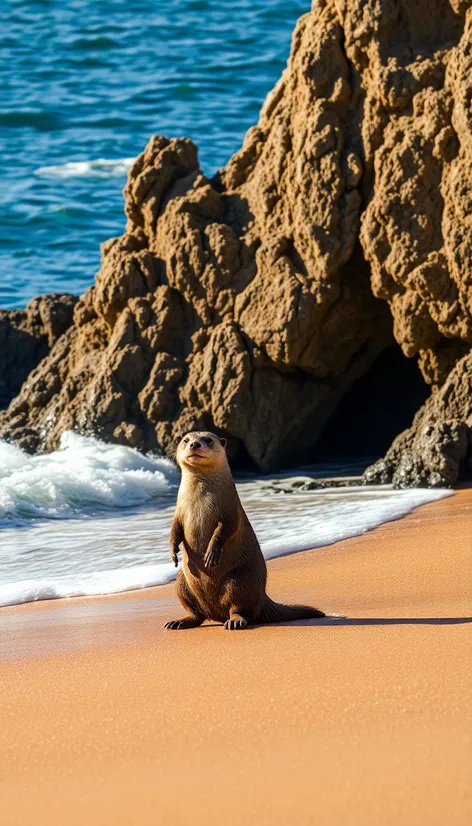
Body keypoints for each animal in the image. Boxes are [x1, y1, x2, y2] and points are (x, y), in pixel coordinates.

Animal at [165, 432, 324, 632]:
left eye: (208, 440)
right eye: (186, 440)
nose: (194, 444)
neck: (199, 499)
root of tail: (263, 598)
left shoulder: (230, 510)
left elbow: (226, 529)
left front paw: (211, 553)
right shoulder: (179, 513)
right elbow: (174, 530)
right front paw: (173, 553)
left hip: (239, 581)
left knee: (239, 608)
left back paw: (235, 621)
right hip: (183, 582)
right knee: (196, 614)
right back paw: (179, 622)